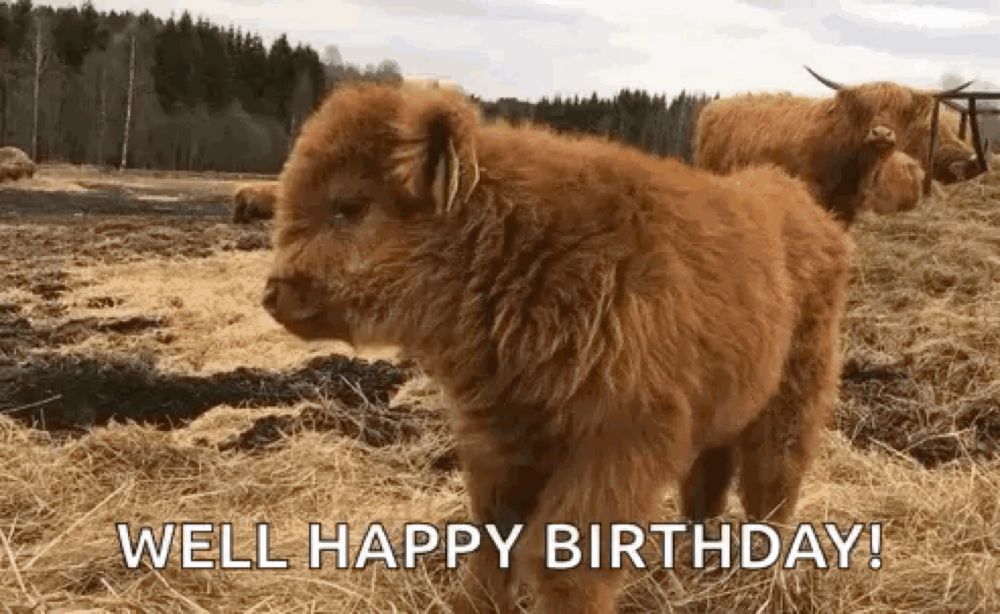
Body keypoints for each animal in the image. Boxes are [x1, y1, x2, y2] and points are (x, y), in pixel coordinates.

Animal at [260, 83, 852, 614]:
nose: (275, 293)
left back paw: (764, 583)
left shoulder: (618, 443)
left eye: (350, 205)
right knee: (708, 484)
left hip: (792, 397)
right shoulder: (506, 439)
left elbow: (565, 562)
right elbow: (490, 542)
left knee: (772, 486)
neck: (523, 249)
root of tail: (807, 208)